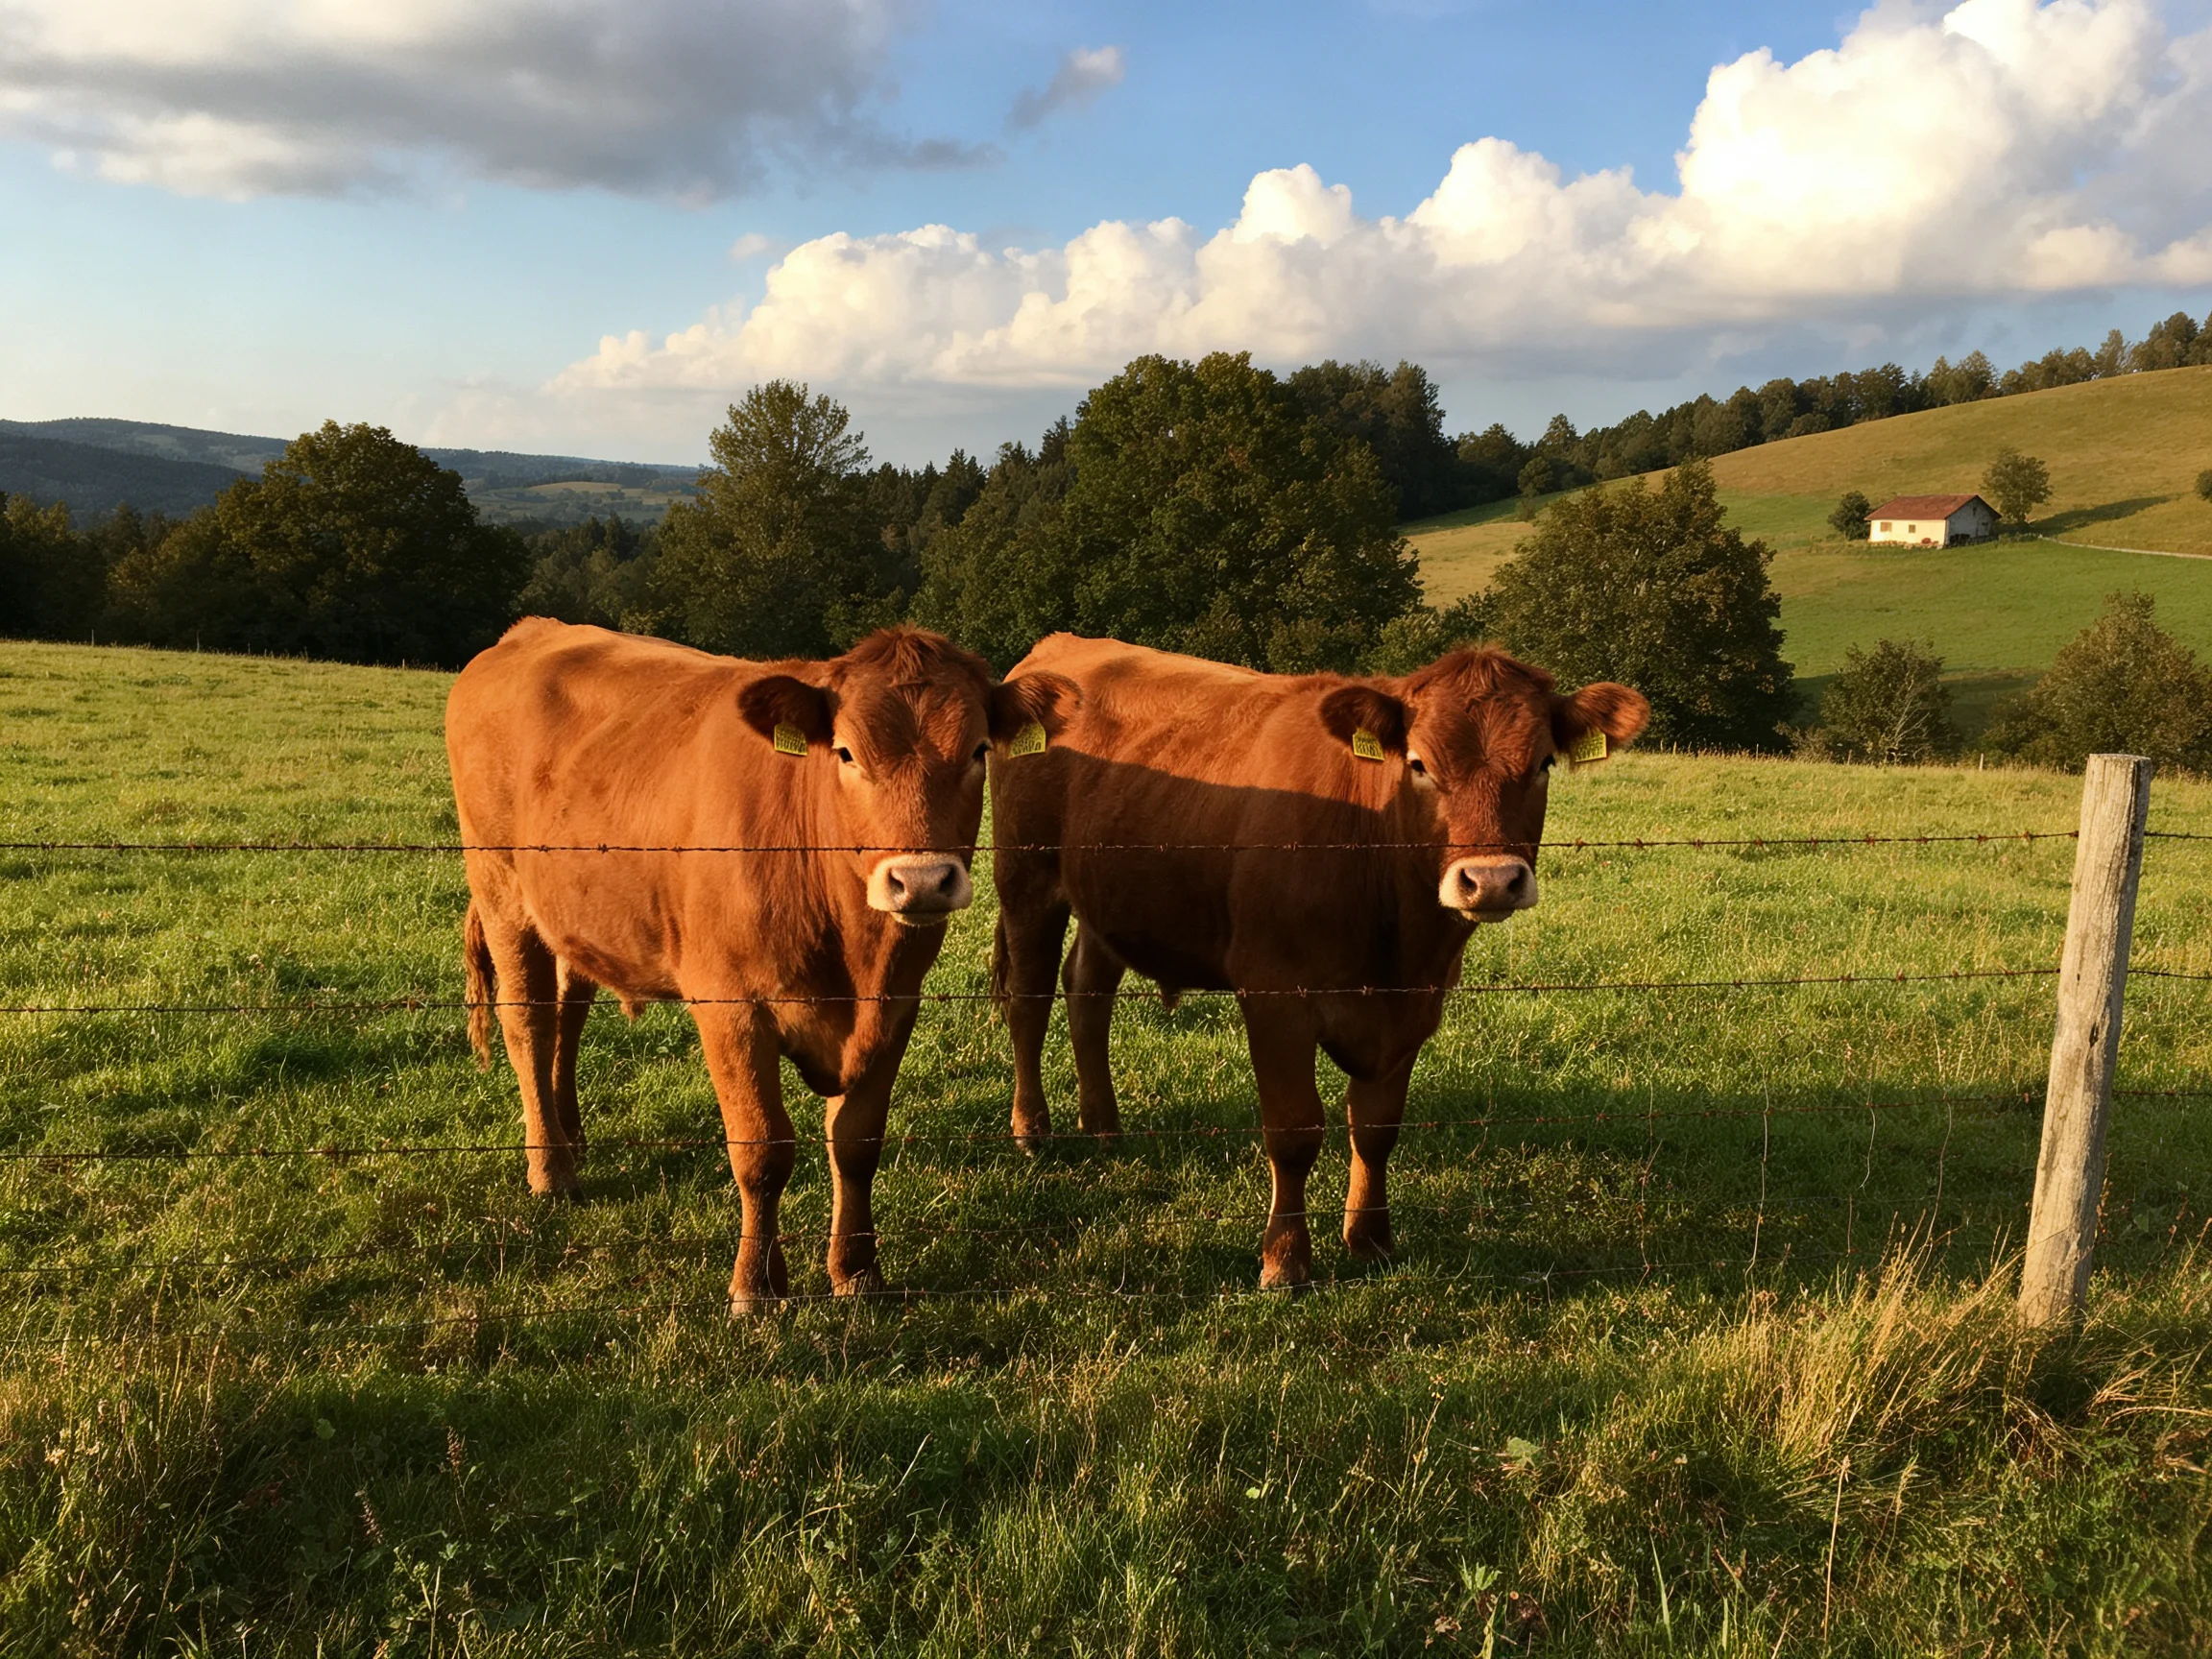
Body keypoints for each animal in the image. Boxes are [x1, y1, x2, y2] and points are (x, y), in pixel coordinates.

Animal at [446, 619, 1076, 1312]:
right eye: (847, 754)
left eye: (978, 751)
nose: (921, 880)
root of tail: (528, 632)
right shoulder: (731, 1008)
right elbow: (762, 1150)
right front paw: (755, 1286)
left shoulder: (894, 1009)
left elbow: (857, 1142)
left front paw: (858, 1272)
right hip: (502, 892)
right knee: (529, 1025)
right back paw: (552, 1169)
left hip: (577, 913)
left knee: (568, 1016)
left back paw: (571, 1137)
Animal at [988, 634, 1649, 1288]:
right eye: (1419, 764)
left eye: (1542, 765)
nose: (1490, 881)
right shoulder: (1275, 998)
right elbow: (1294, 1129)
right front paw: (1285, 1259)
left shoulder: (1412, 1007)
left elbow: (1377, 1127)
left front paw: (1371, 1240)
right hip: (1026, 878)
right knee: (1030, 1000)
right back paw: (1032, 1131)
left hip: (1106, 899)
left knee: (1087, 992)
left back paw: (1103, 1127)